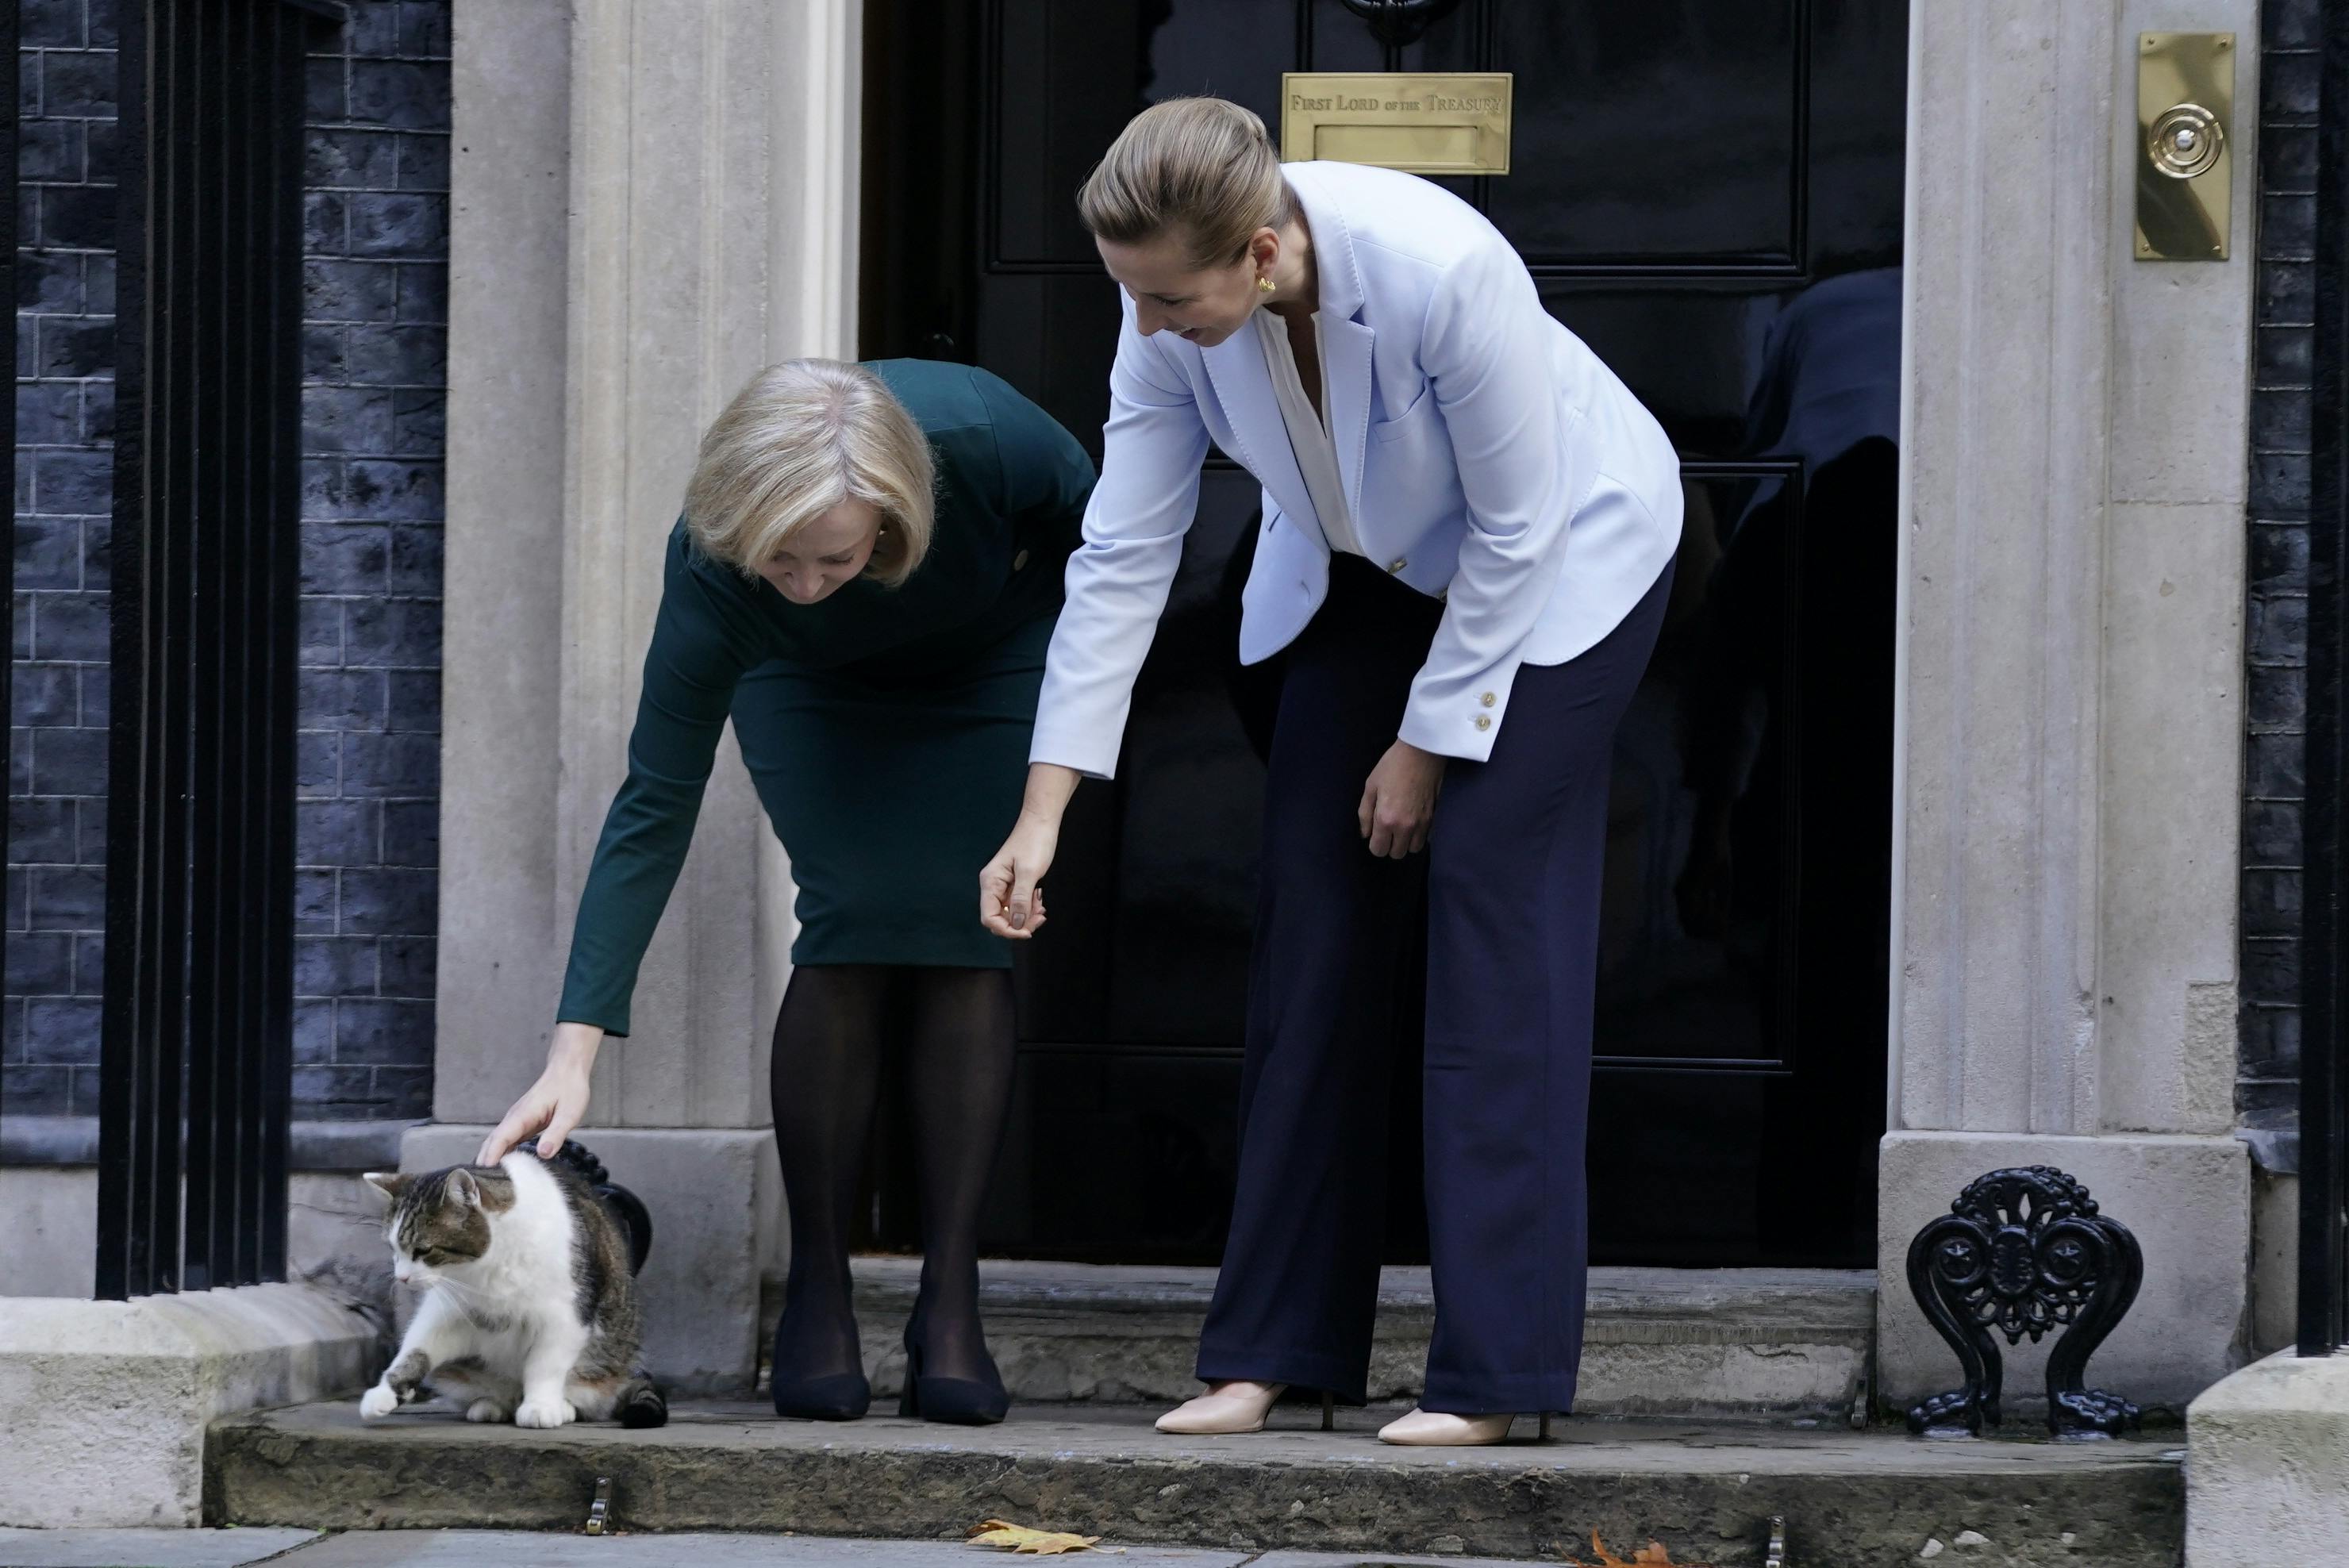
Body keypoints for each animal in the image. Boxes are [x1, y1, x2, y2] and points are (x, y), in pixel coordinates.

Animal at [361, 1145, 667, 1427]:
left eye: (423, 1250)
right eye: (393, 1249)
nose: (401, 1278)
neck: (486, 1267)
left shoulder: (566, 1315)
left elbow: (546, 1365)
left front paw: (541, 1407)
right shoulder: (448, 1309)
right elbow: (416, 1349)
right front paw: (383, 1393)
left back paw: (562, 1407)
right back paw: (489, 1405)